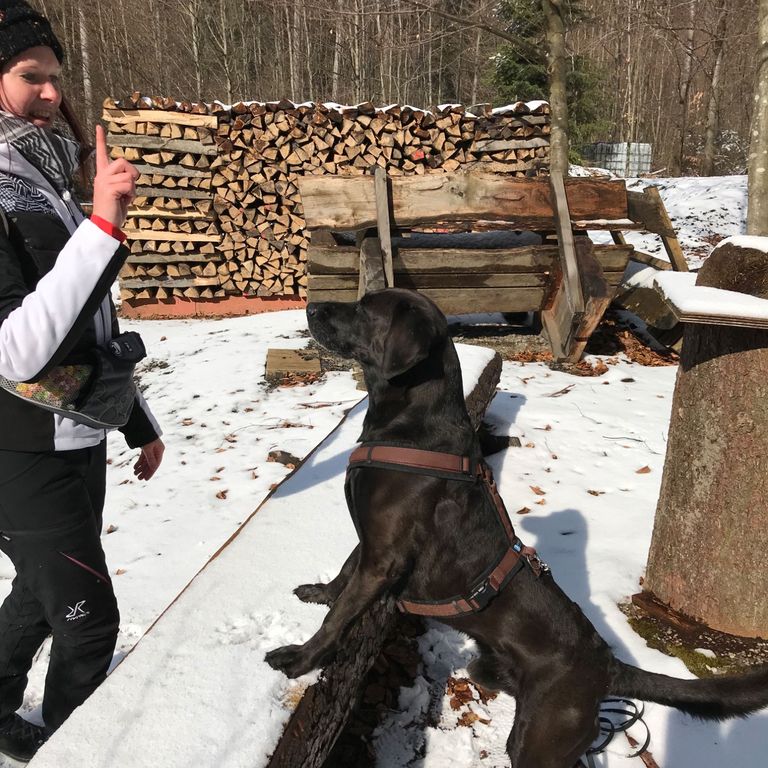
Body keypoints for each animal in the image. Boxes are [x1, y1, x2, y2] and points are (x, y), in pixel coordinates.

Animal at [268, 290, 768, 768]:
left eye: (366, 308)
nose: (310, 307)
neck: (409, 427)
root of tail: (608, 666)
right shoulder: (373, 540)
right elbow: (345, 574)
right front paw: (319, 592)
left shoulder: (385, 555)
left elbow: (341, 617)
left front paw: (299, 659)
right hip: (497, 683)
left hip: (542, 739)